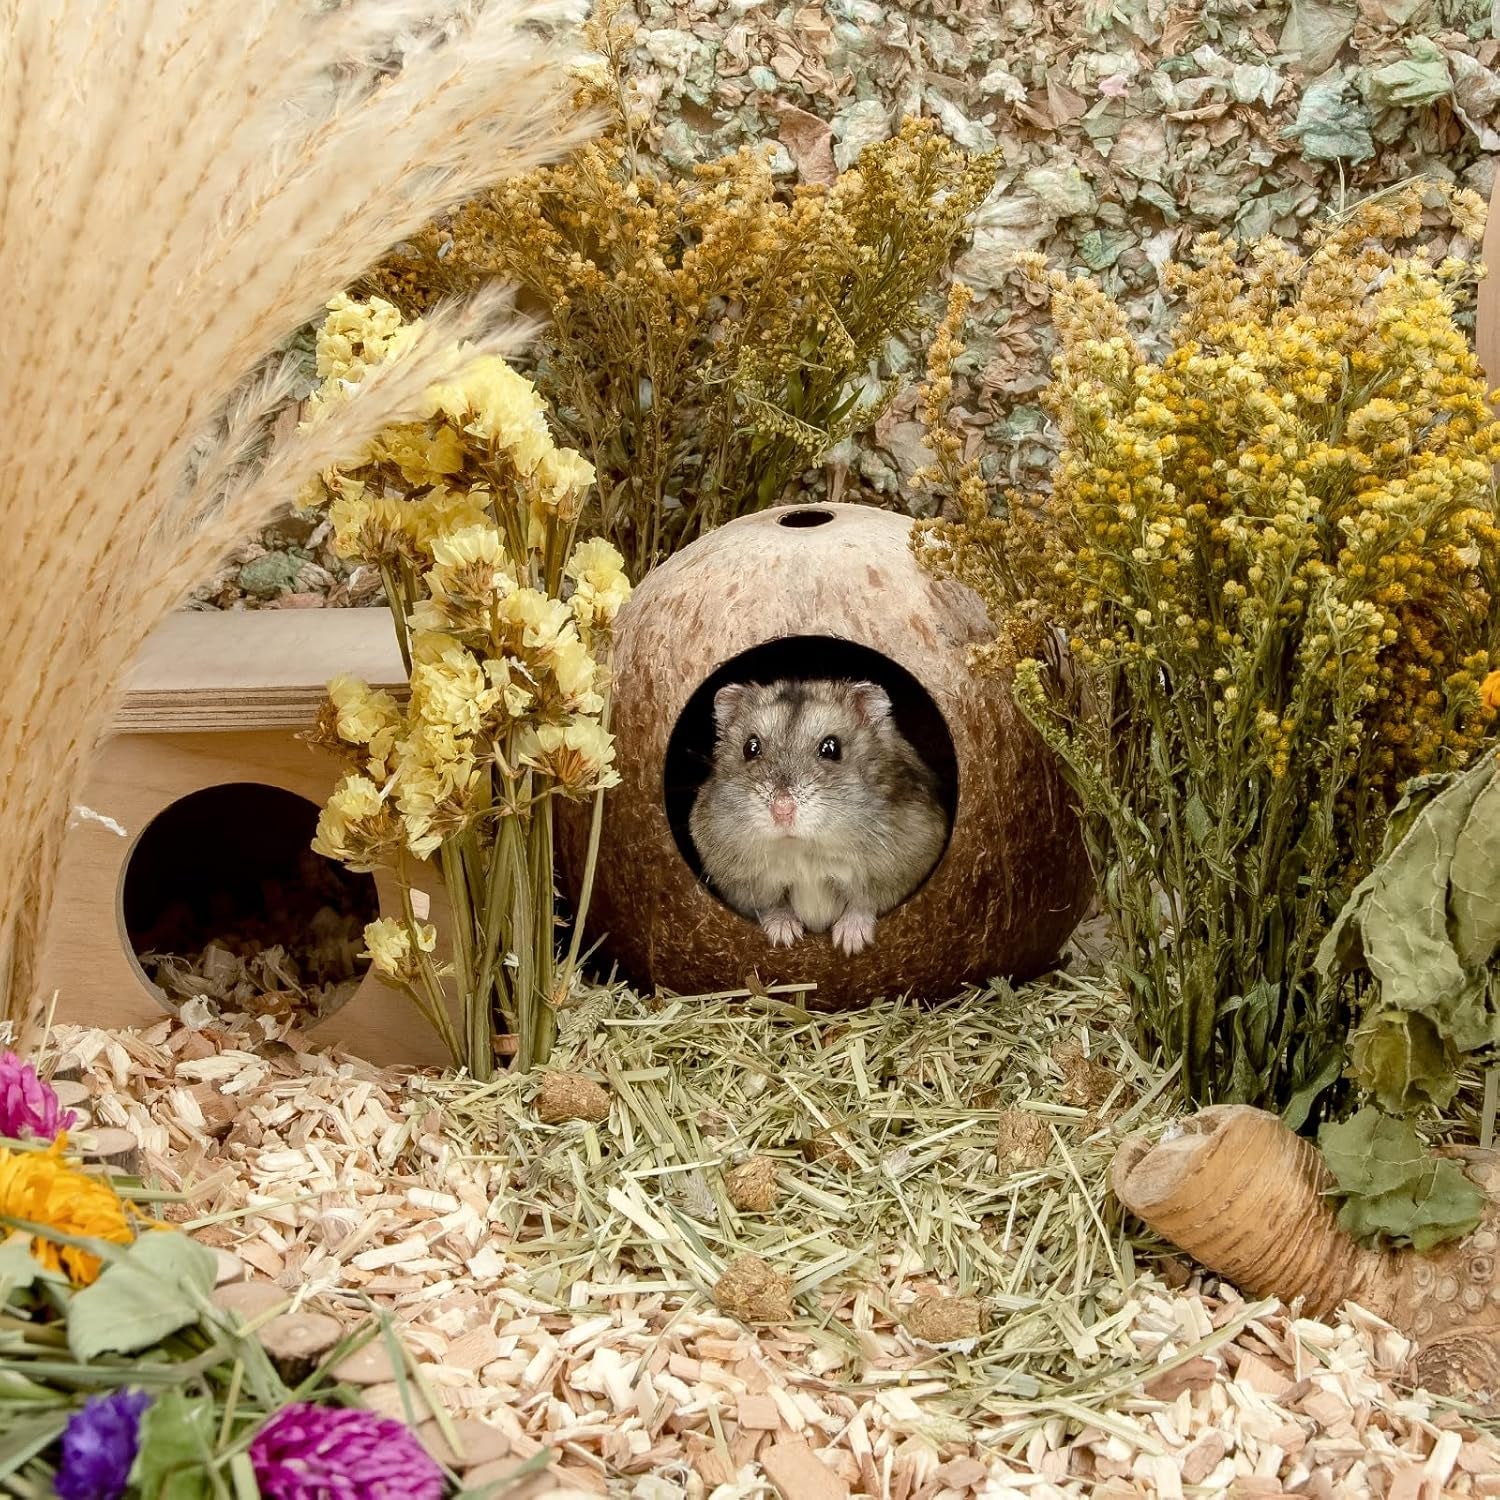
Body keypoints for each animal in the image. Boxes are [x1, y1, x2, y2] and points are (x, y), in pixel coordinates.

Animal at [689, 678, 948, 955]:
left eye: (831, 748)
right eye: (751, 747)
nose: (782, 810)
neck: (803, 849)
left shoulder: (902, 866)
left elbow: (864, 903)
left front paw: (850, 944)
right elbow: (771, 905)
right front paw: (785, 936)